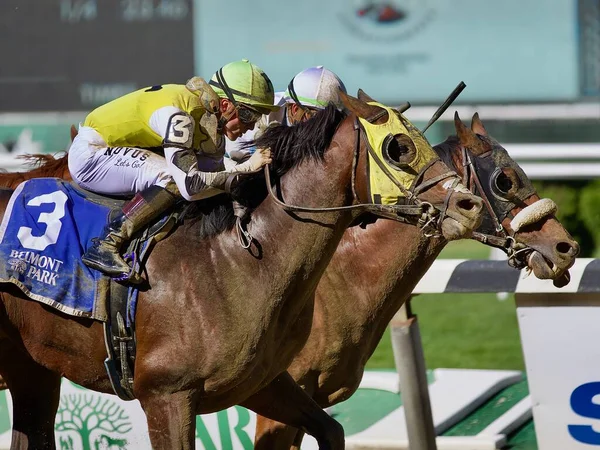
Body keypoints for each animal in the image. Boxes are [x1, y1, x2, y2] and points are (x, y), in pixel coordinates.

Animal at [0, 93, 482, 448]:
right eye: (398, 148)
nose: (468, 204)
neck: (235, 261)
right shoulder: (166, 396)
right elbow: (182, 175)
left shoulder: (263, 383)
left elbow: (331, 429)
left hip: (33, 370)